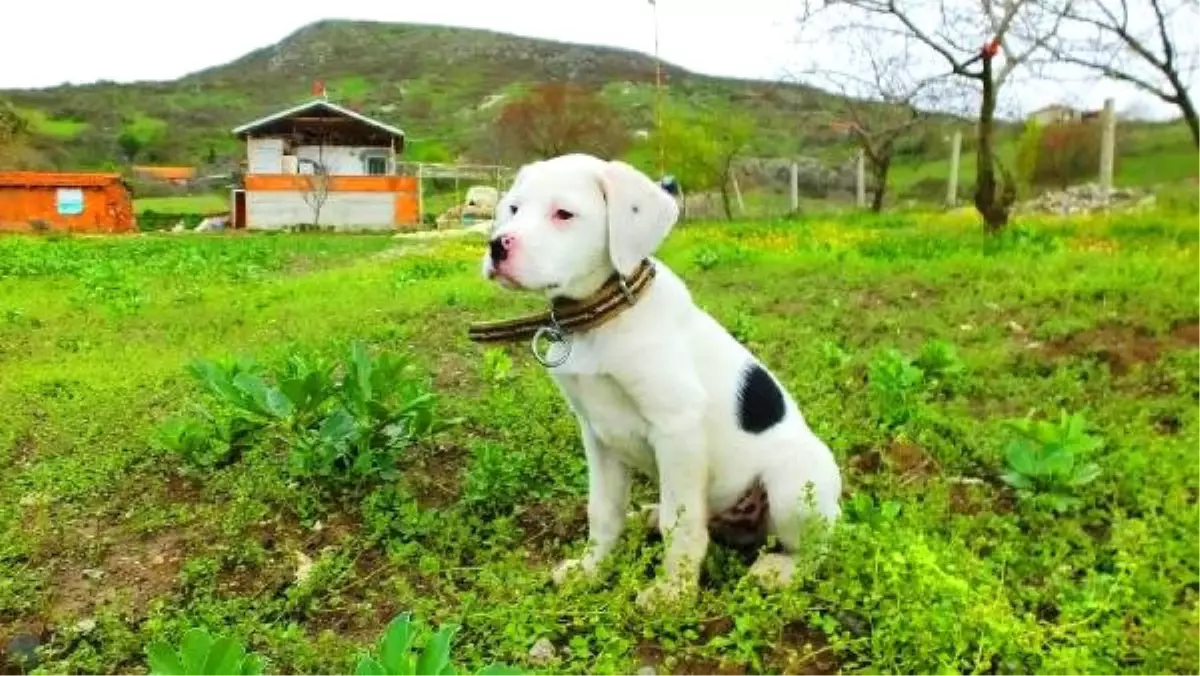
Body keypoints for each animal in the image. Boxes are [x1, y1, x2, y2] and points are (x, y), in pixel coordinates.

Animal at [472, 156, 840, 609]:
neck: (603, 317)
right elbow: (603, 510)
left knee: (814, 550)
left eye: (563, 214)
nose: (496, 246)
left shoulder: (677, 428)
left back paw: (781, 571)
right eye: (514, 209)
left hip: (793, 484)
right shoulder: (596, 433)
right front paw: (590, 570)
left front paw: (673, 593)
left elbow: (678, 522)